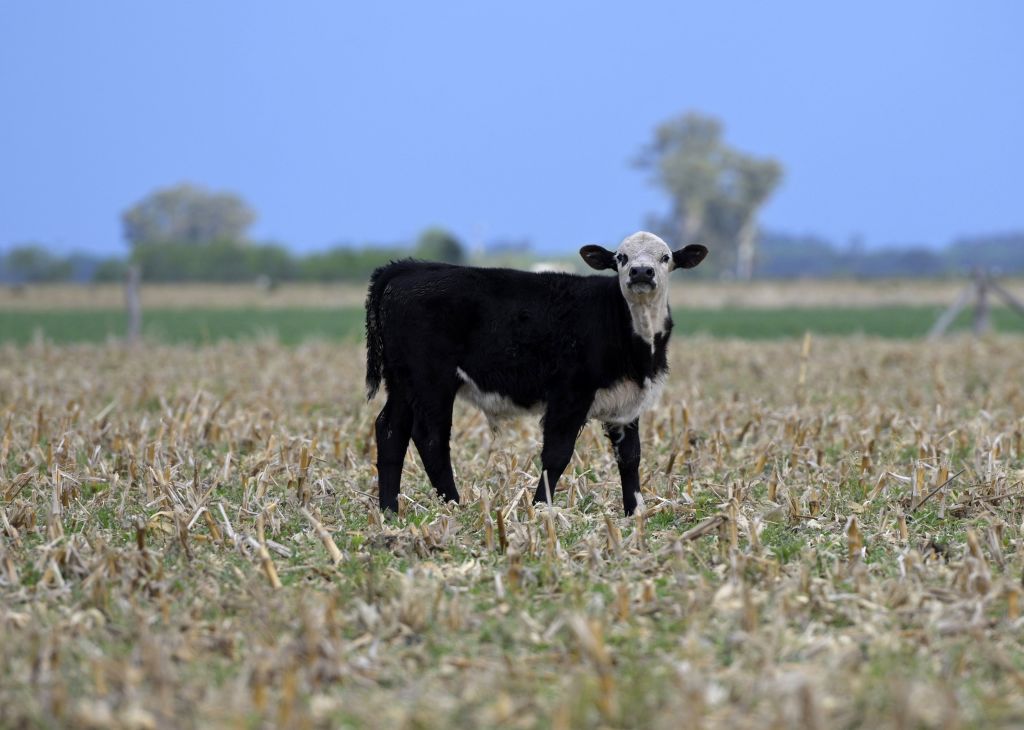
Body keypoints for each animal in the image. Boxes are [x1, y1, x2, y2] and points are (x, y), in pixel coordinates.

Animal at [364, 231, 708, 516]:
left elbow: (630, 456)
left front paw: (635, 512)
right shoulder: (569, 396)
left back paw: (389, 510)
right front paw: (541, 508)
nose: (640, 272)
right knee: (431, 437)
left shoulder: (627, 403)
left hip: (404, 383)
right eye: (621, 258)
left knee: (390, 430)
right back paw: (453, 505)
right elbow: (557, 454)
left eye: (665, 257)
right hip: (431, 381)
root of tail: (409, 268)